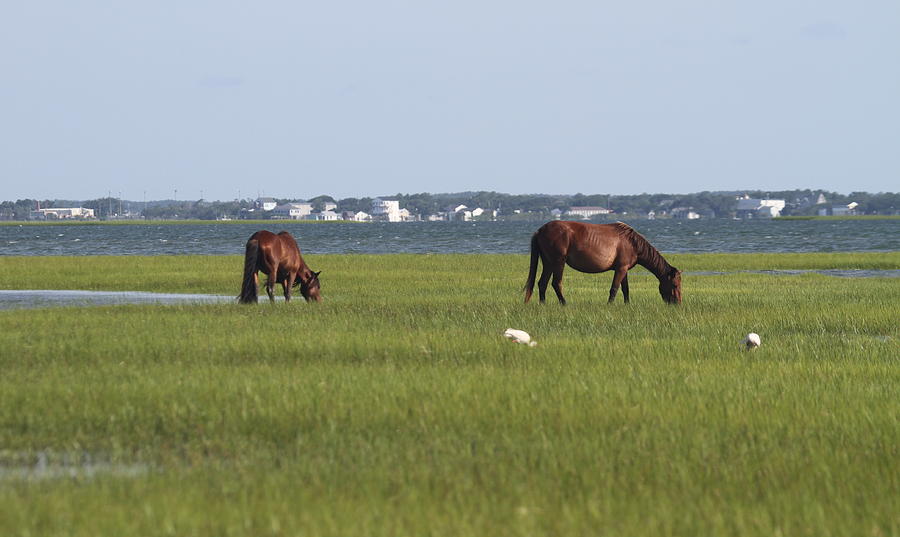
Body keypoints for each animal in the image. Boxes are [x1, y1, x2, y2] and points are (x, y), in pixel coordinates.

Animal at [524, 220, 680, 304]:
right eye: (674, 285)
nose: (677, 304)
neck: (632, 243)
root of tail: (540, 230)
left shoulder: (623, 269)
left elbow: (625, 289)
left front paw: (627, 304)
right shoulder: (620, 269)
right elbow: (614, 288)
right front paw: (609, 305)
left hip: (548, 263)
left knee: (542, 283)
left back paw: (543, 303)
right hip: (558, 262)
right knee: (556, 283)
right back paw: (564, 304)